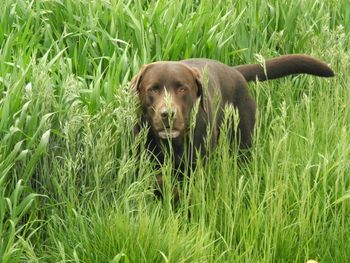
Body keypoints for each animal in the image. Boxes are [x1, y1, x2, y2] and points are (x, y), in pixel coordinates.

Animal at [131, 54, 334, 198]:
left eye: (182, 88)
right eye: (153, 89)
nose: (168, 114)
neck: (173, 143)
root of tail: (234, 71)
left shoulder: (197, 169)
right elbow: (159, 182)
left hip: (243, 142)